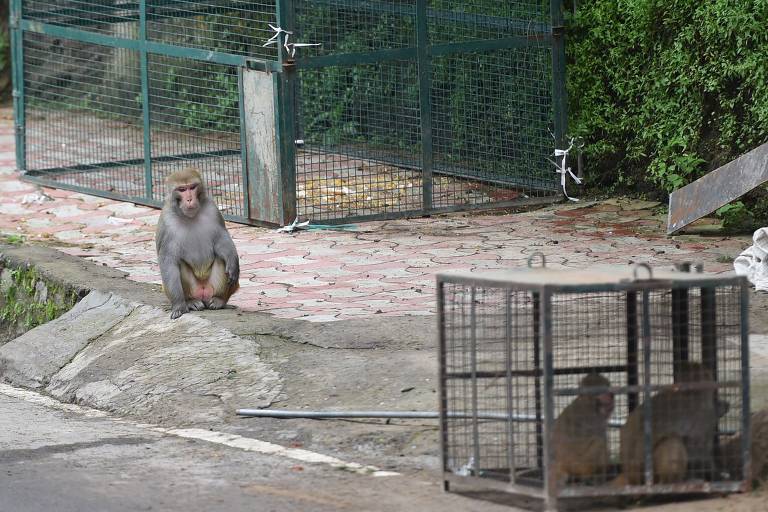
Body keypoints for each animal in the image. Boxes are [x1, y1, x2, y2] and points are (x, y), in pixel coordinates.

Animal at [154, 168, 238, 320]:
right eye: (181, 189)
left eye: (192, 187)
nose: (189, 199)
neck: (189, 216)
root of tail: (203, 294)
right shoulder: (166, 223)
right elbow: (169, 261)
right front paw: (179, 305)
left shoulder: (212, 209)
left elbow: (221, 239)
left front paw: (233, 262)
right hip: (194, 290)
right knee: (179, 264)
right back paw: (190, 301)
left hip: (212, 288)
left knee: (221, 259)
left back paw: (219, 300)